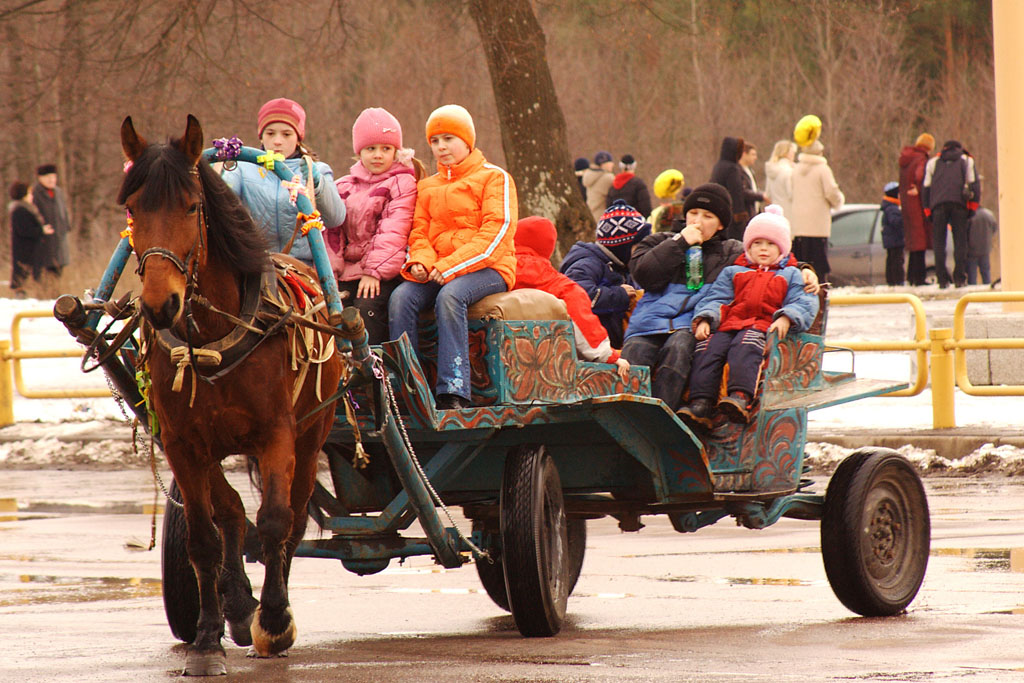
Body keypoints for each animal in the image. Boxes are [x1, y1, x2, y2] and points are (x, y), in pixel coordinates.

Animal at [118, 114, 344, 675]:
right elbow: (205, 537)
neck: (212, 338)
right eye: (133, 209)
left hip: (313, 433)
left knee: (294, 516)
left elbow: (276, 522)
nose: (160, 304)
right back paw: (238, 604)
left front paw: (276, 621)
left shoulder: (277, 434)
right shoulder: (181, 444)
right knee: (231, 514)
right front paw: (207, 635)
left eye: (191, 206)